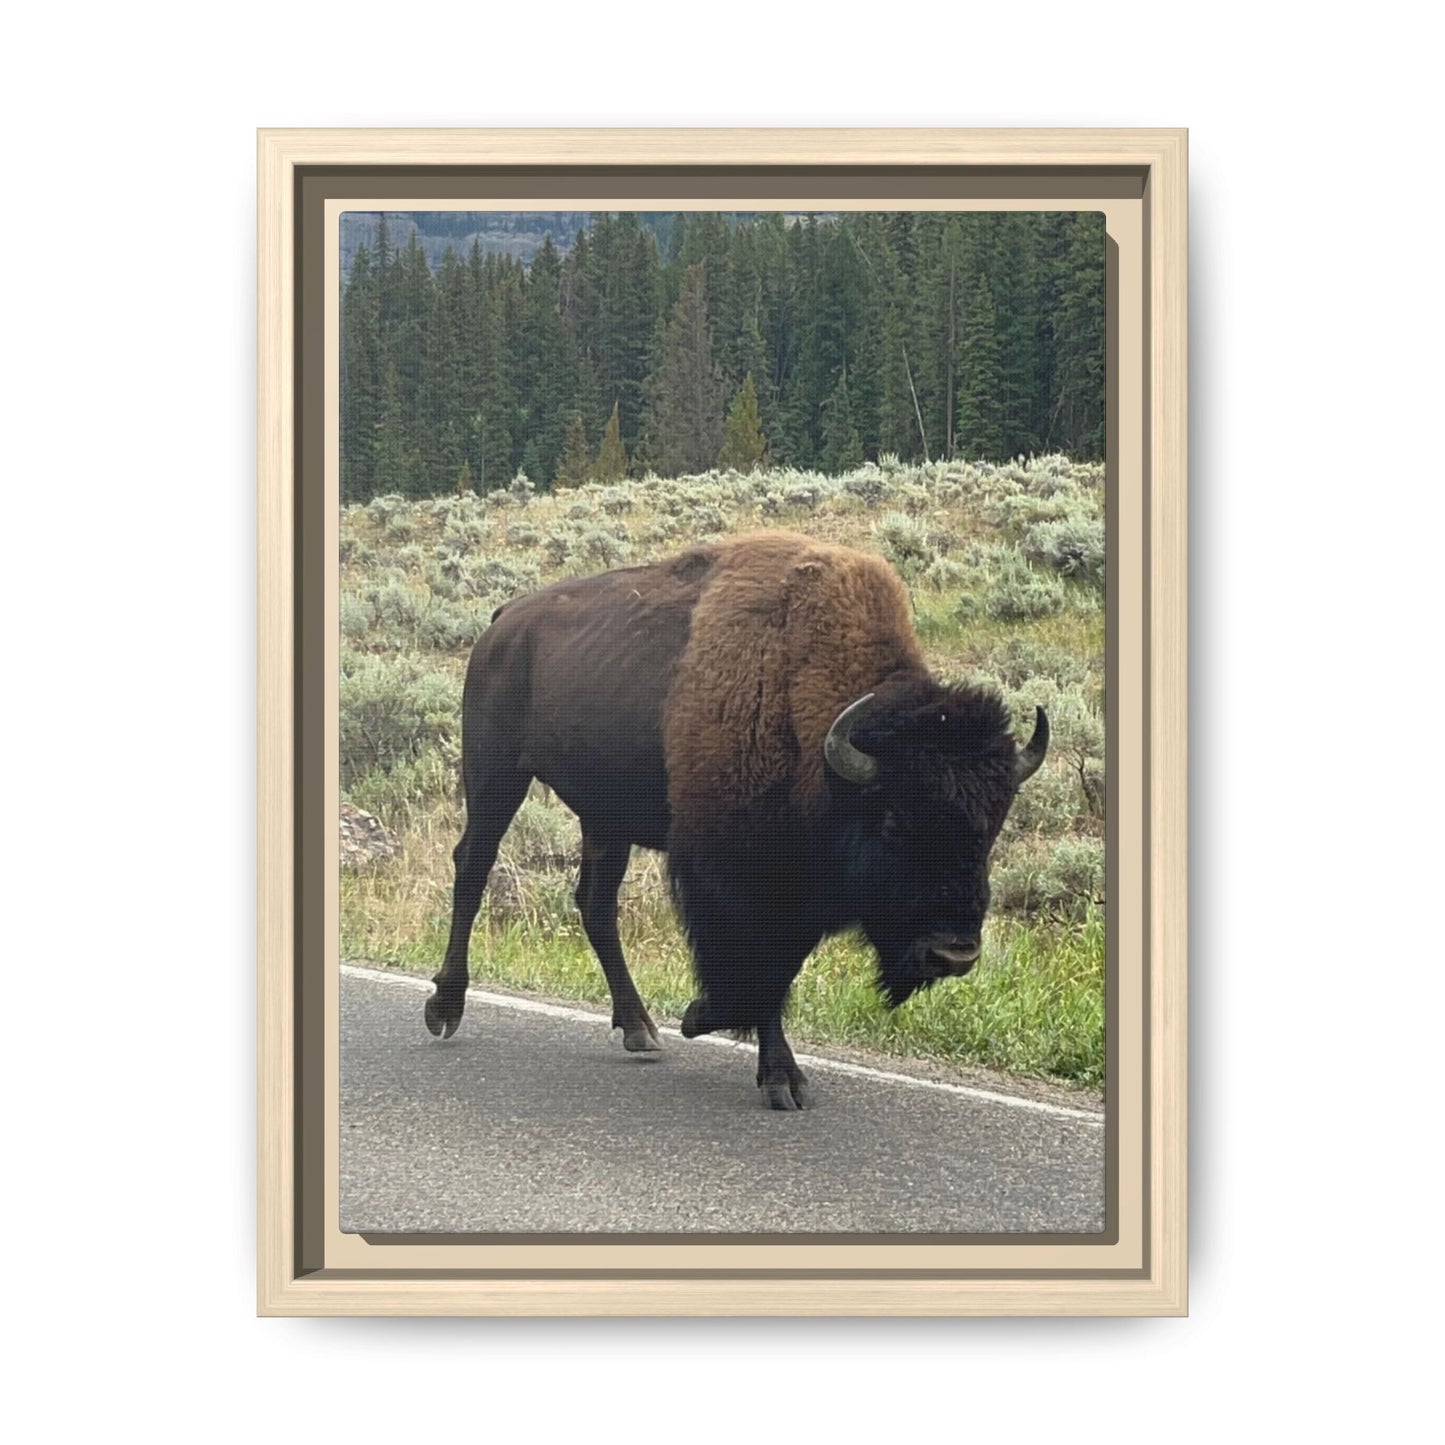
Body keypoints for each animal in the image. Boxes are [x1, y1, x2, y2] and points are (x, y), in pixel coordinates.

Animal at [426, 530, 1048, 1110]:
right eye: (893, 822)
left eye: (992, 827)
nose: (954, 953)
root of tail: (504, 621)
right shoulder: (736, 877)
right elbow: (757, 967)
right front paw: (758, 1061)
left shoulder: (795, 889)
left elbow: (778, 969)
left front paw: (727, 1035)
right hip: (496, 775)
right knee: (473, 867)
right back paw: (444, 1007)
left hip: (605, 817)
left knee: (595, 905)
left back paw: (639, 1029)